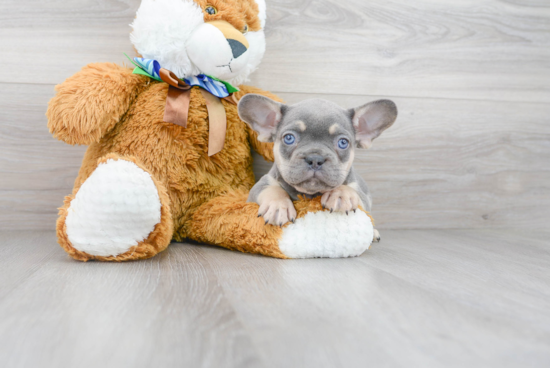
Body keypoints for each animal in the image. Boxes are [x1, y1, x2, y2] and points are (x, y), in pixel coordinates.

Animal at [239, 94, 398, 242]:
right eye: (289, 138)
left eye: (343, 142)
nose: (315, 158)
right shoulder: (261, 185)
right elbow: (272, 189)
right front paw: (278, 206)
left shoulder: (363, 197)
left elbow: (351, 190)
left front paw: (341, 194)